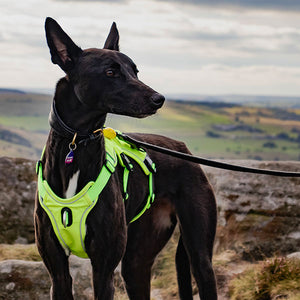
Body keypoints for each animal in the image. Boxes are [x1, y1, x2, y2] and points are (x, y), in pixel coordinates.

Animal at [35, 17, 218, 298]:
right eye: (110, 72)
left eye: (135, 71)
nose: (159, 99)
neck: (77, 142)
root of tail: (183, 149)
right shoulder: (58, 273)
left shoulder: (103, 269)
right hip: (136, 264)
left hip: (199, 256)